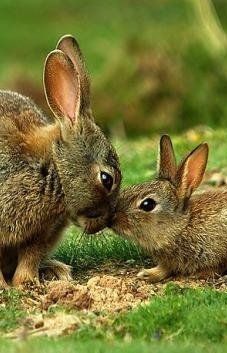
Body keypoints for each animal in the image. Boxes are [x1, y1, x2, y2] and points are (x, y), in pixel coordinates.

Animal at [0, 34, 121, 286]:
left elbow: (30, 255)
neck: (51, 168)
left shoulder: (43, 232)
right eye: (107, 179)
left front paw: (26, 283)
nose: (105, 223)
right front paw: (5, 287)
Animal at [111, 133, 227, 282]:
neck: (182, 226)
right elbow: (164, 269)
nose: (112, 218)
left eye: (148, 204)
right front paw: (148, 274)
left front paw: (199, 274)